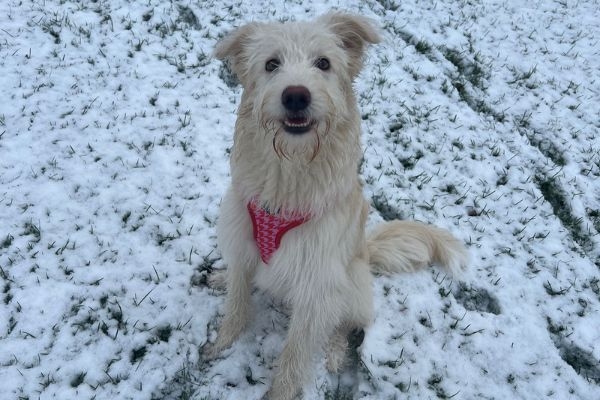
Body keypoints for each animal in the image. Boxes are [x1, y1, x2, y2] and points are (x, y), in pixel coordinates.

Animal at [209, 12, 472, 400]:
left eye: (324, 63)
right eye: (271, 64)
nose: (296, 95)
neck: (290, 173)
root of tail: (367, 249)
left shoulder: (316, 280)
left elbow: (296, 350)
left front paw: (280, 392)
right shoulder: (241, 241)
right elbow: (237, 303)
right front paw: (220, 343)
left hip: (349, 283)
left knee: (346, 323)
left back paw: (334, 353)